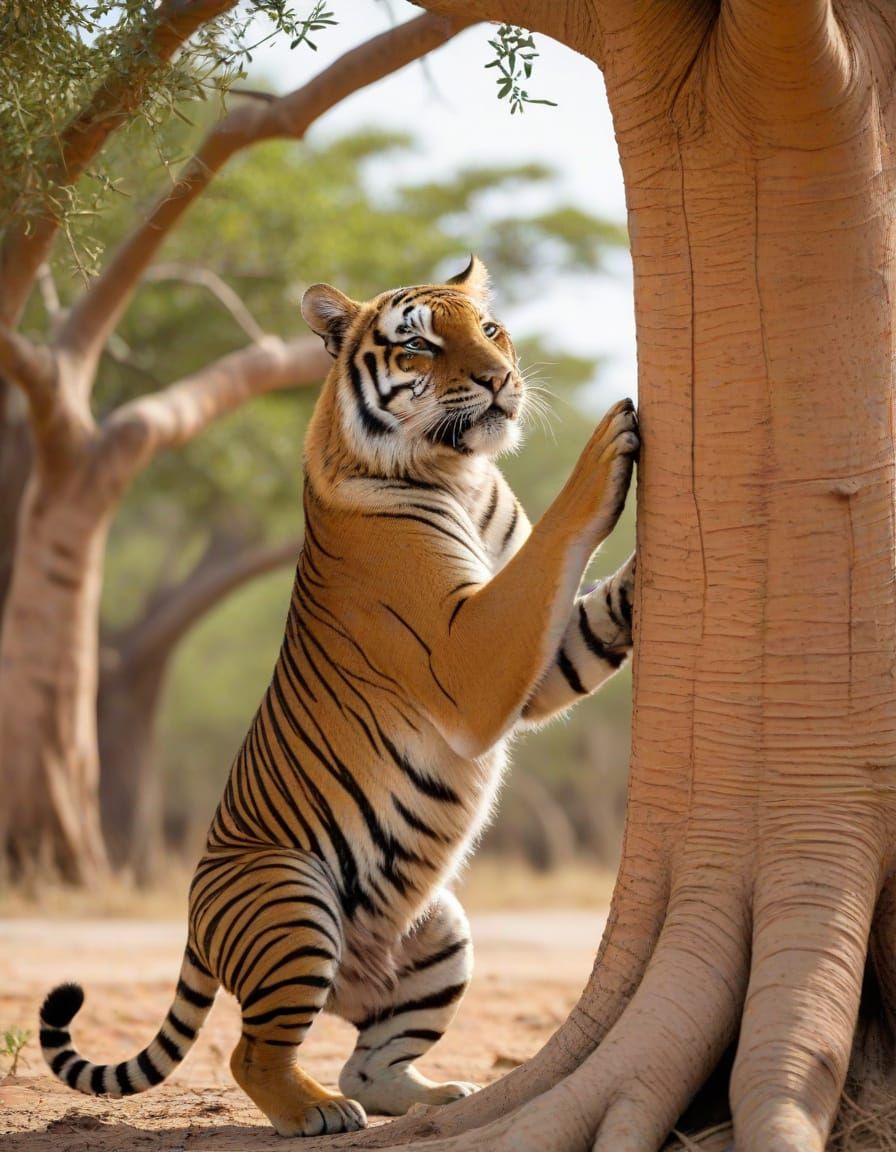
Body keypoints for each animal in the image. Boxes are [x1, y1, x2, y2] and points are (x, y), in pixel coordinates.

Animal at [39, 257, 639, 1138]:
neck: (463, 472)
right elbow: (559, 543)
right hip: (292, 900)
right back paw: (317, 1113)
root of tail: (193, 925)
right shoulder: (470, 657)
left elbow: (596, 617)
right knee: (254, 1052)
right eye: (421, 344)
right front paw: (609, 444)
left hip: (439, 931)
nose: (500, 378)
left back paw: (433, 1096)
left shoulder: (534, 660)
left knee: (370, 1056)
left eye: (489, 330)